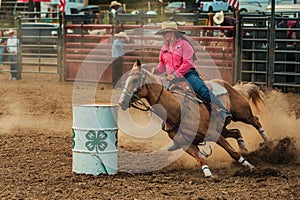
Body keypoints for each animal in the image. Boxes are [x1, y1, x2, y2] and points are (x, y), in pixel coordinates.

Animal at [118, 60, 268, 177]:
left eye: (135, 80)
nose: (121, 102)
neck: (178, 110)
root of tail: (229, 85)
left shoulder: (213, 134)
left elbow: (233, 153)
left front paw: (250, 167)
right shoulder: (187, 145)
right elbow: (201, 159)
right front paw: (208, 173)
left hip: (242, 113)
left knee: (255, 121)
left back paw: (267, 142)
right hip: (222, 128)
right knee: (236, 131)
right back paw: (245, 148)